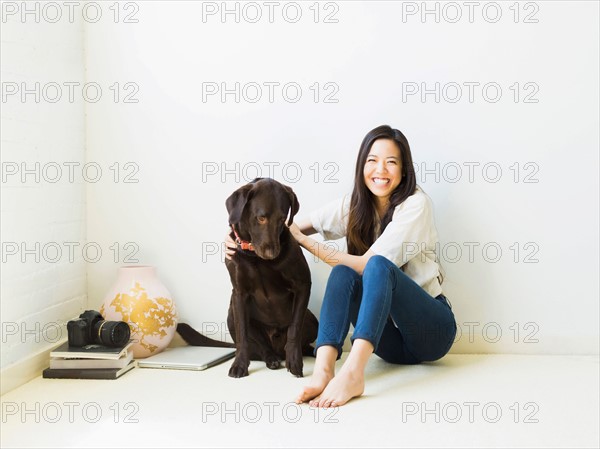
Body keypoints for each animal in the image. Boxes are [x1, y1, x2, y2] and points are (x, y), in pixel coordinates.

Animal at [225, 177, 318, 376]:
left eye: (282, 219)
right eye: (261, 218)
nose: (272, 253)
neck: (255, 257)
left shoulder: (303, 285)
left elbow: (294, 328)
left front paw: (294, 359)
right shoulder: (239, 294)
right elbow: (243, 335)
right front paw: (239, 364)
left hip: (312, 319)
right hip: (231, 315)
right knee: (262, 346)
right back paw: (271, 358)